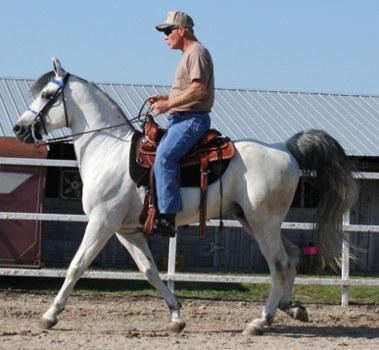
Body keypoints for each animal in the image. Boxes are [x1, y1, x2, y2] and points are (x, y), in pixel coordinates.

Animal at [13, 58, 358, 336]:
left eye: (47, 95)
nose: (19, 129)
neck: (107, 149)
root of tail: (286, 148)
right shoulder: (126, 230)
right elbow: (150, 272)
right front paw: (177, 316)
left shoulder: (101, 222)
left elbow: (77, 265)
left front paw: (49, 315)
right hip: (252, 220)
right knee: (293, 255)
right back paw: (292, 308)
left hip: (264, 224)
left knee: (280, 264)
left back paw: (261, 321)